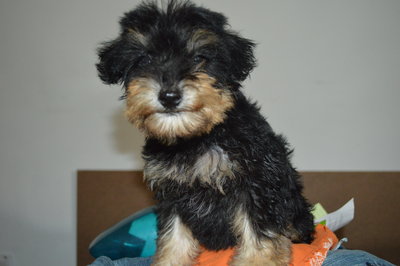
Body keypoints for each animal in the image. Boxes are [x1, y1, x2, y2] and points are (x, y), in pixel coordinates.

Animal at [97, 1, 316, 264]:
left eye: (199, 57)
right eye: (145, 59)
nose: (169, 96)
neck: (195, 138)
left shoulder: (255, 183)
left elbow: (258, 231)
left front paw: (257, 260)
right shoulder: (172, 193)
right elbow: (174, 237)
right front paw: (169, 260)